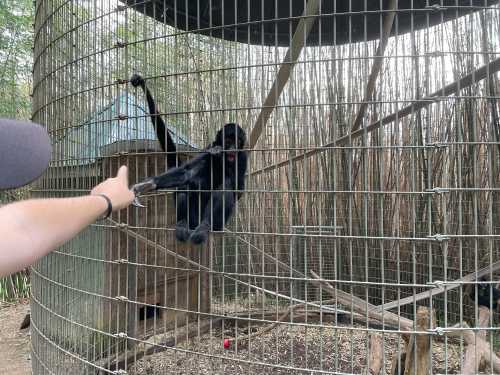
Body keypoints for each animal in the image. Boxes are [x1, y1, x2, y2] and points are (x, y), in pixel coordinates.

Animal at [129, 74, 246, 245]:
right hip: (193, 216)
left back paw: (205, 226)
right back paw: (183, 224)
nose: (231, 149)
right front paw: (147, 184)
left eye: (237, 142)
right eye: (228, 141)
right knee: (186, 185)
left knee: (225, 186)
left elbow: (238, 189)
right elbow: (187, 172)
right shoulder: (208, 149)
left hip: (218, 224)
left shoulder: (243, 155)